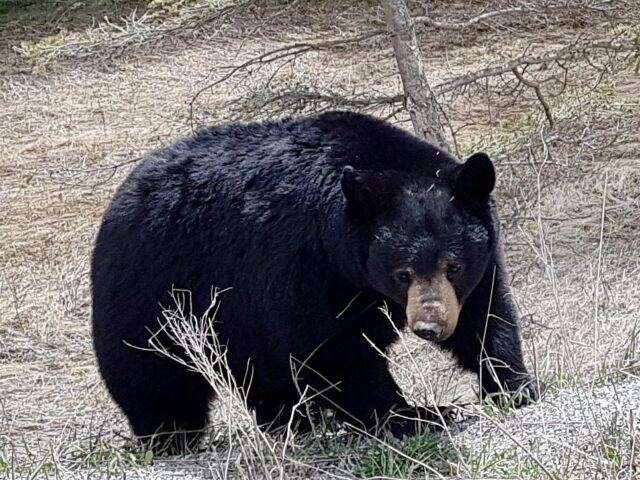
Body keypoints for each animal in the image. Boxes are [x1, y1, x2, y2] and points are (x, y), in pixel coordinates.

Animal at [91, 110, 540, 452]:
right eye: (402, 273)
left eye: (454, 266)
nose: (429, 326)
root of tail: (120, 196)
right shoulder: (303, 264)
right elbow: (332, 349)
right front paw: (415, 414)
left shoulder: (473, 270)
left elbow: (484, 316)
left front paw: (514, 384)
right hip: (152, 293)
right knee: (155, 376)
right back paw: (171, 436)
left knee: (262, 375)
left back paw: (293, 421)